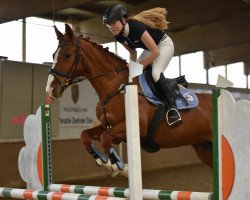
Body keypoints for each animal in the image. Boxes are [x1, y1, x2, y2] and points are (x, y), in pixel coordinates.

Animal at [46, 23, 212, 175]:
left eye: (67, 55)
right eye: (53, 55)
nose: (50, 89)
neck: (114, 87)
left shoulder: (137, 127)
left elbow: (106, 138)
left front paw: (119, 166)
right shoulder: (108, 126)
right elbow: (85, 135)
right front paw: (103, 161)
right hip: (203, 147)